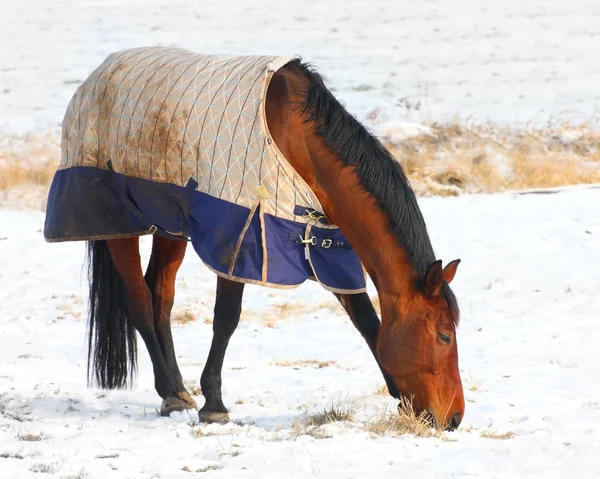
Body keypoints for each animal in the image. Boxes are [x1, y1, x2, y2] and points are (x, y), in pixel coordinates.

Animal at [44, 47, 466, 432]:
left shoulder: (322, 246)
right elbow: (226, 318)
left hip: (169, 226)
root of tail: (97, 75)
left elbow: (365, 319)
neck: (297, 141)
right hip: (118, 221)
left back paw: (177, 391)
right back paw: (170, 393)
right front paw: (214, 404)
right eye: (444, 335)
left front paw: (399, 396)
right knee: (138, 302)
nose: (454, 418)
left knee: (160, 297)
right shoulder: (241, 232)